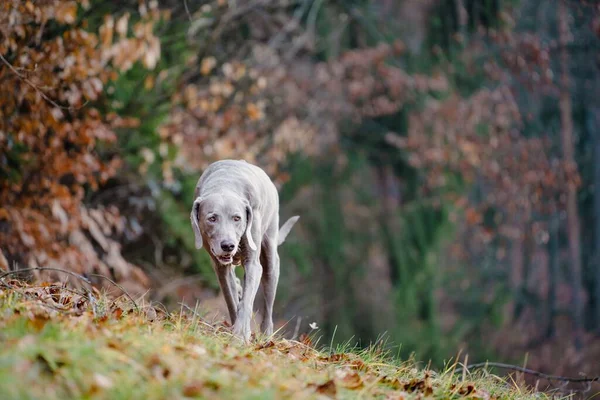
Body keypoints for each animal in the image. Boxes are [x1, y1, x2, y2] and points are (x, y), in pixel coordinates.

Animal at [190, 159, 298, 340]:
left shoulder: (253, 263)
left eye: (237, 218)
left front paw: (241, 335)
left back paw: (266, 335)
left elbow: (247, 301)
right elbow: (231, 299)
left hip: (270, 256)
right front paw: (237, 330)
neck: (224, 184)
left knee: (268, 301)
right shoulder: (220, 267)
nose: (228, 245)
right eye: (212, 218)